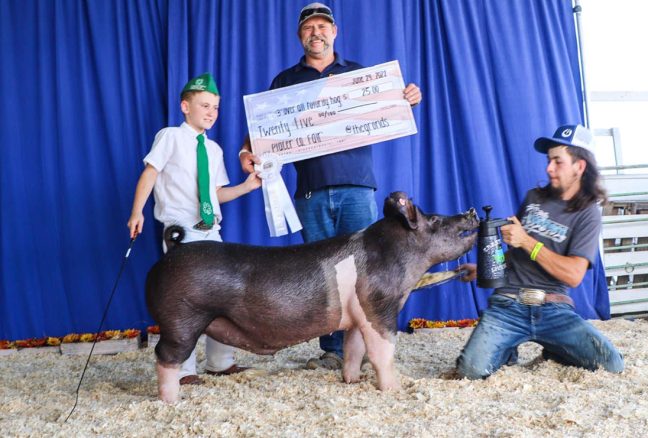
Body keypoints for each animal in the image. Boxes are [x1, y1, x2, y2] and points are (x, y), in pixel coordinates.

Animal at [148, 190, 480, 402]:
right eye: (435, 220)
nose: (472, 210)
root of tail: (172, 251)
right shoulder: (378, 307)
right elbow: (382, 353)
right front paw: (395, 390)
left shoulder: (357, 316)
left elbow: (354, 351)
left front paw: (352, 382)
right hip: (182, 320)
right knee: (165, 357)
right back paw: (172, 402)